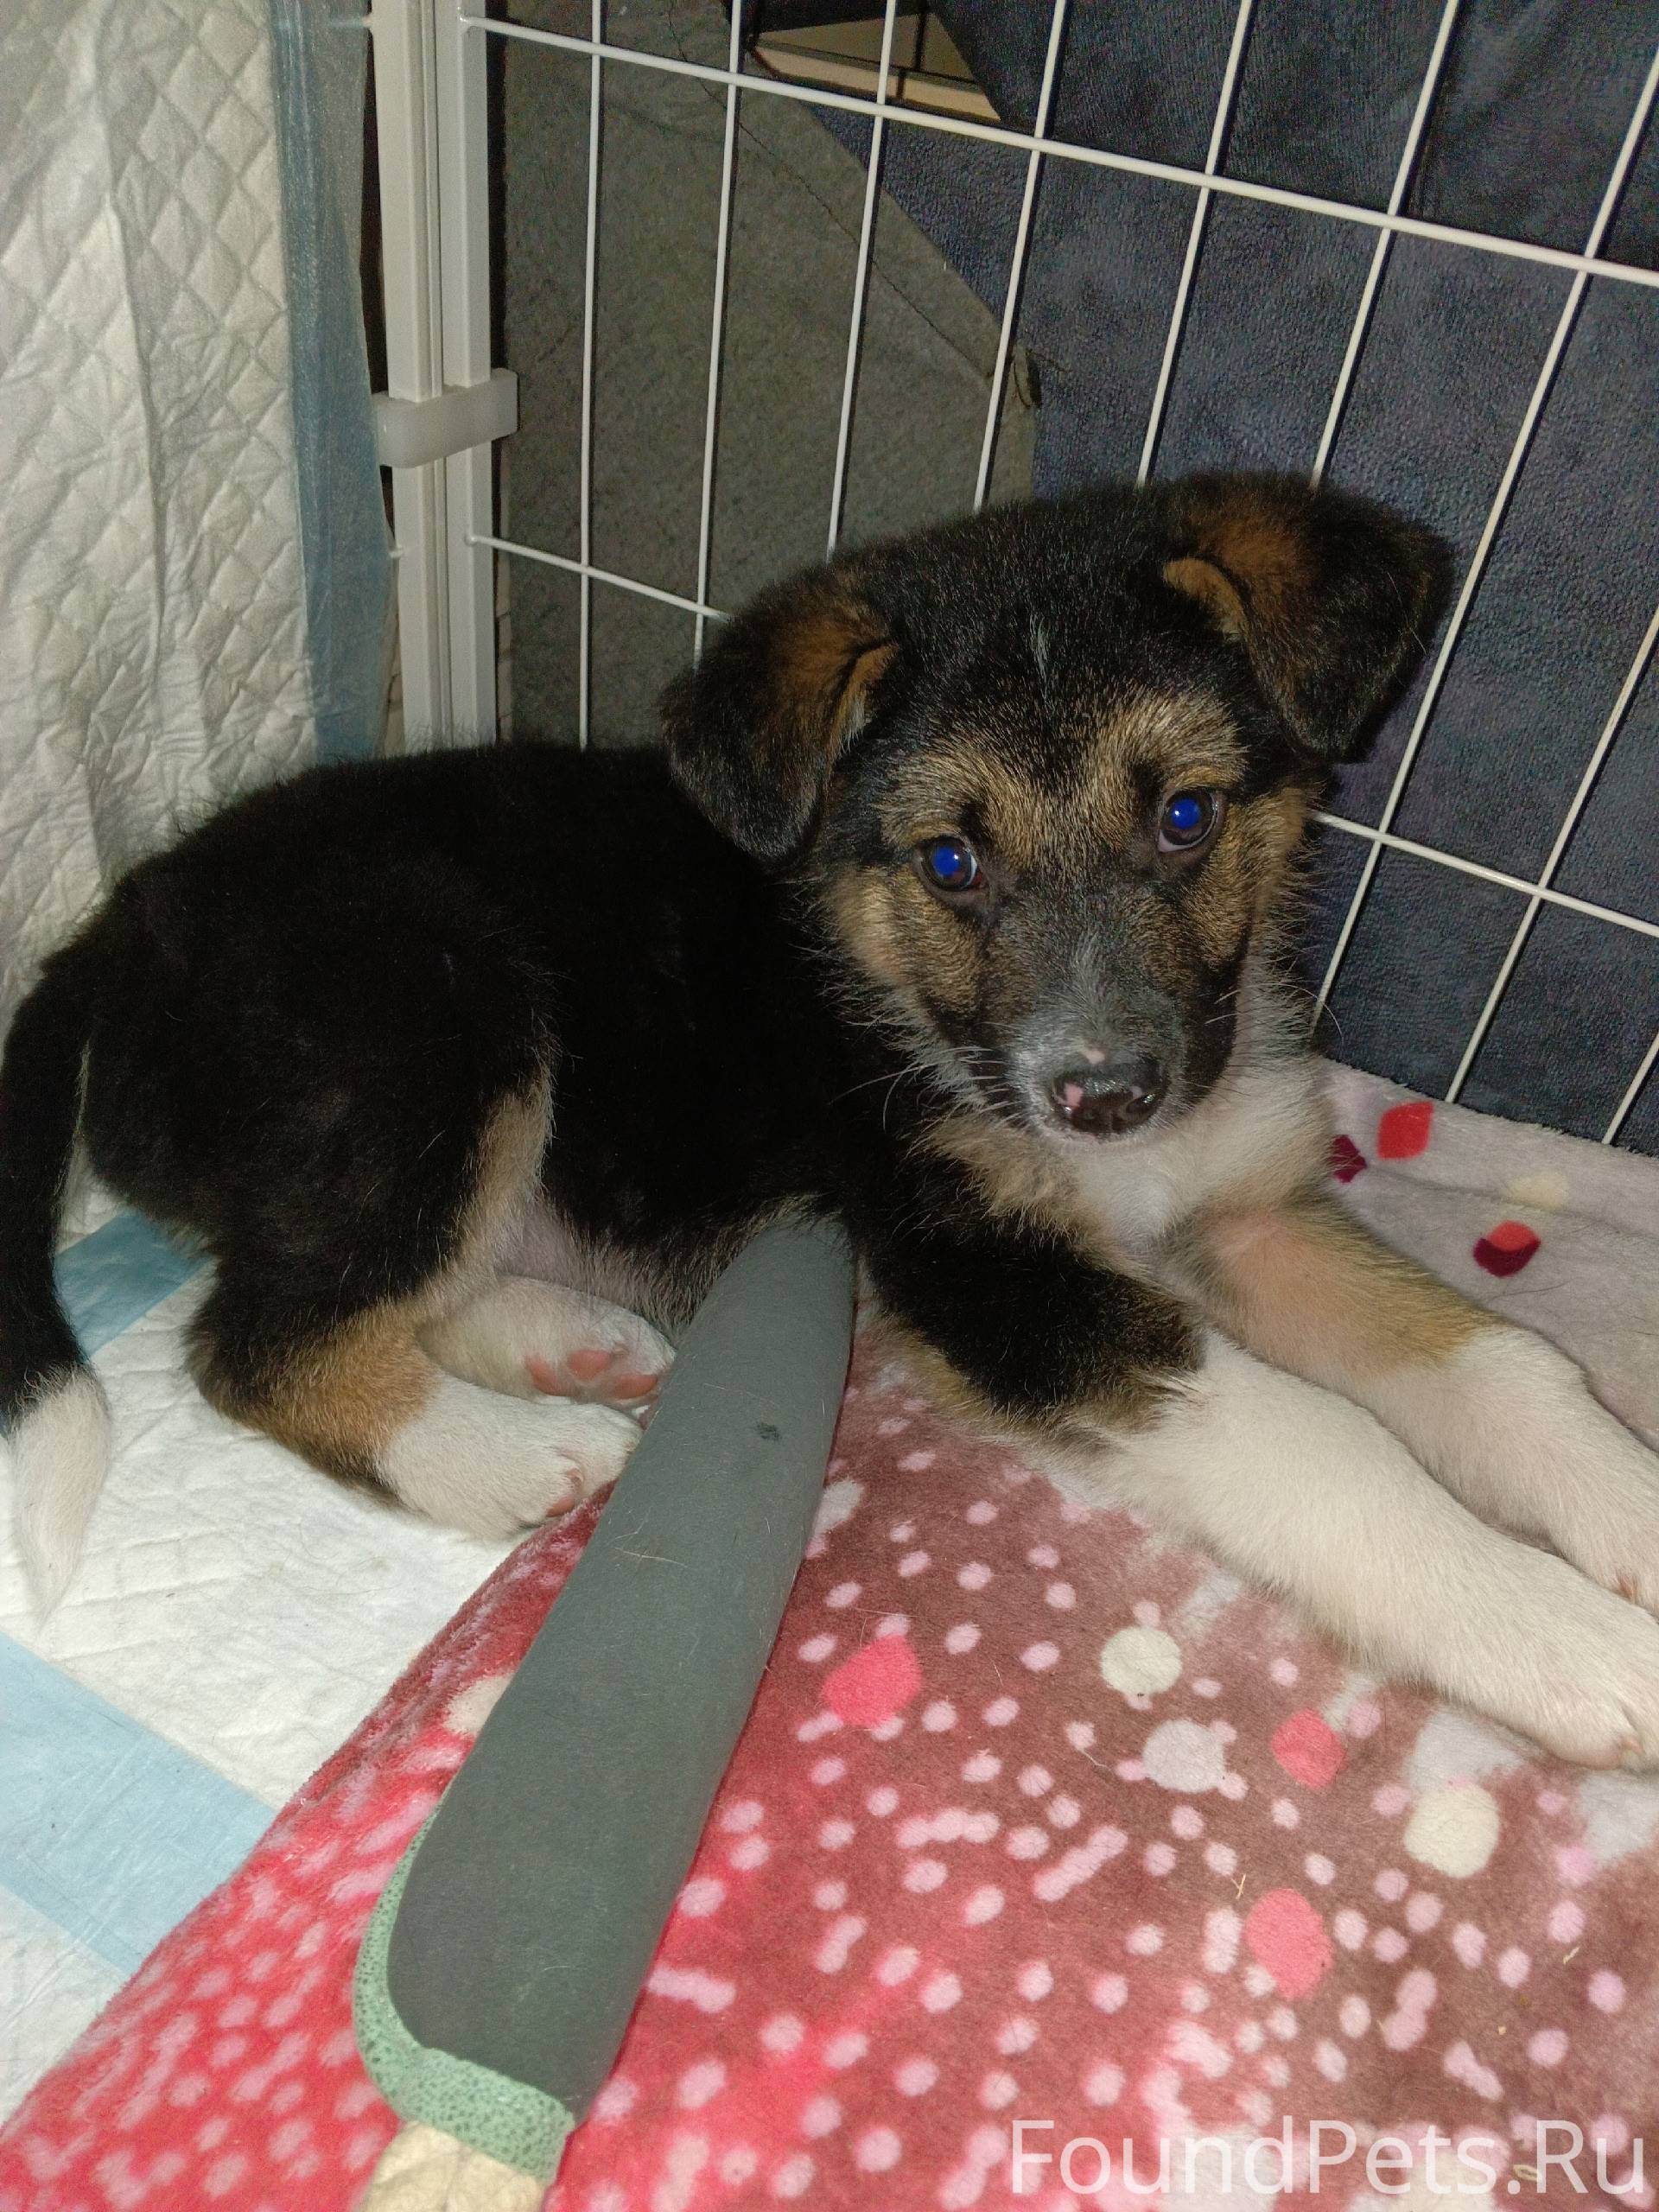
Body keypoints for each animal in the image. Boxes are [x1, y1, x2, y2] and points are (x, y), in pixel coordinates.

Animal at [5, 472, 1659, 1769]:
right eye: (949, 862)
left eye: (1186, 817)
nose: (1107, 1095)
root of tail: (116, 926)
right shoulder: (990, 1267)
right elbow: (1325, 1444)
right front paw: (1566, 1639)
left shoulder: (1253, 1207)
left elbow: (1501, 1361)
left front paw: (1630, 1512)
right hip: (443, 1015)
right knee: (260, 1338)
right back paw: (511, 1455)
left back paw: (563, 1344)